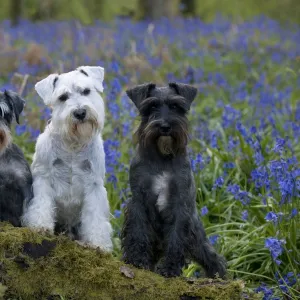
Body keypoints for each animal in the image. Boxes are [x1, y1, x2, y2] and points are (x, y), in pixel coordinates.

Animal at [21, 67, 112, 252]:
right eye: (63, 97)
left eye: (86, 91)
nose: (80, 112)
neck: (73, 144)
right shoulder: (43, 178)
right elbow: (42, 204)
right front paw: (40, 226)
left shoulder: (94, 185)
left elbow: (95, 217)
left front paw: (98, 243)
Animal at [120, 82, 226, 278]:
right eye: (152, 106)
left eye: (176, 106)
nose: (165, 126)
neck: (162, 157)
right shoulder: (138, 200)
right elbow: (138, 231)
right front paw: (136, 260)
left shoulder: (180, 204)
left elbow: (176, 239)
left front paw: (169, 269)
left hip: (198, 241)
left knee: (213, 258)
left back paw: (218, 276)